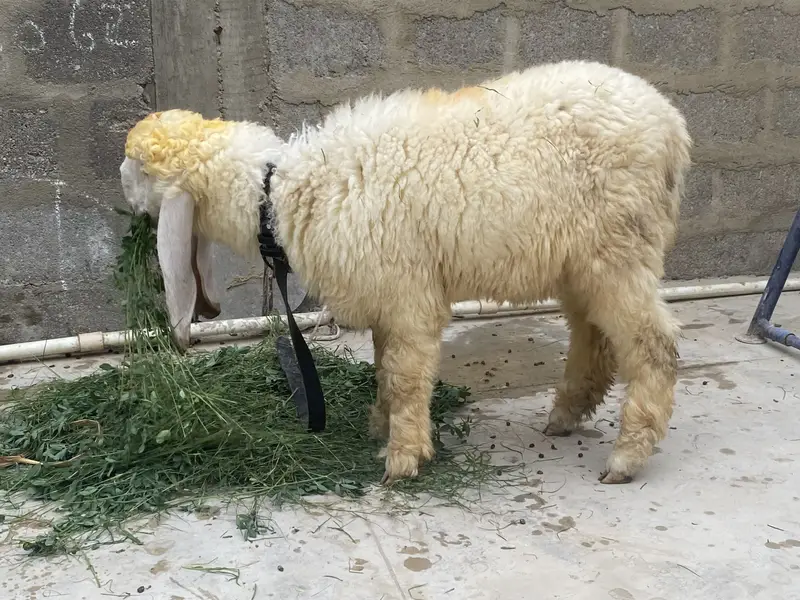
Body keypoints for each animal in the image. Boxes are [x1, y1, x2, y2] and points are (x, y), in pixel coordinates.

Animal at [120, 59, 692, 486]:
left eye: (137, 170)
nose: (124, 202)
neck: (278, 193)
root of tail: (673, 127)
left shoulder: (409, 295)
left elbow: (406, 375)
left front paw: (403, 457)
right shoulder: (385, 295)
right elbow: (382, 366)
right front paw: (380, 425)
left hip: (620, 248)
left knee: (653, 344)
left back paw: (627, 456)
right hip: (580, 260)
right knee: (593, 338)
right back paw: (565, 416)